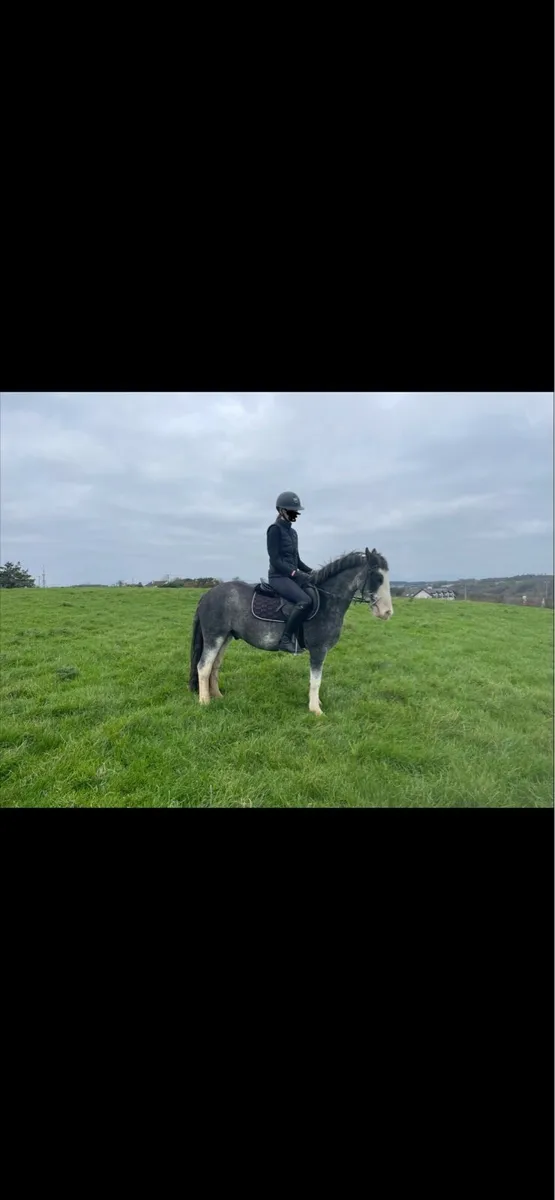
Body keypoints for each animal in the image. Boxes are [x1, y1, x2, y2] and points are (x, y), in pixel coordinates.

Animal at [189, 547, 392, 715]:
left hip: (225, 637)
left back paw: (217, 696)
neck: (327, 601)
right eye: (378, 577)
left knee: (214, 666)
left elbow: (315, 680)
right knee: (203, 667)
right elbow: (316, 680)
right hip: (214, 637)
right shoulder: (318, 650)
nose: (387, 612)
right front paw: (316, 710)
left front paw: (316, 704)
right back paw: (205, 702)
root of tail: (208, 594)